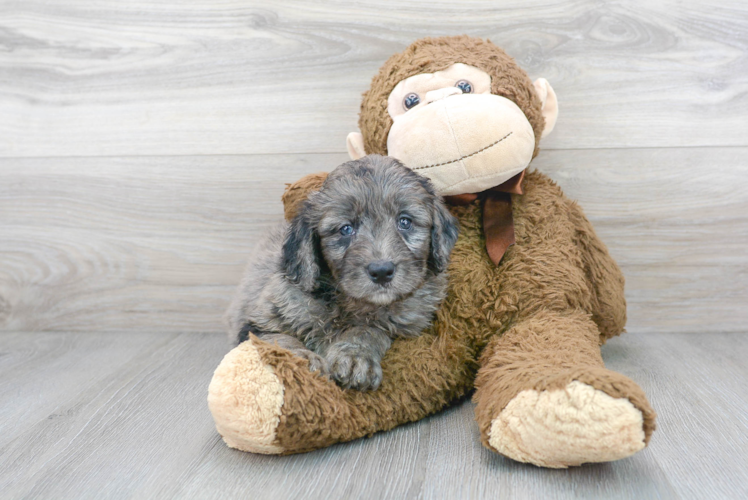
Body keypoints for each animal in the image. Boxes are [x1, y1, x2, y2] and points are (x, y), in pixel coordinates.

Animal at [225, 154, 458, 388]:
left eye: (405, 222)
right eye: (346, 229)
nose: (382, 271)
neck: (350, 304)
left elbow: (370, 330)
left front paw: (355, 356)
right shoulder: (256, 324)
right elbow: (281, 339)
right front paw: (302, 360)